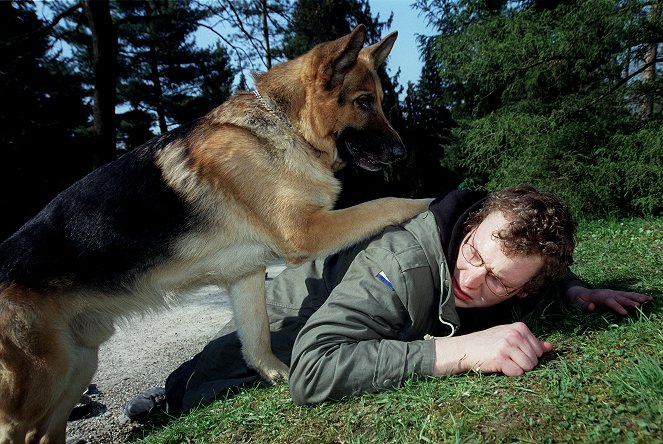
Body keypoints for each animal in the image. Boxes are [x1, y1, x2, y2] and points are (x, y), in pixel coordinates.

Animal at [0, 25, 430, 444]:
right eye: (363, 102)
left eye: (378, 101)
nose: (403, 153)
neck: (286, 127)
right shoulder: (306, 231)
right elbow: (386, 203)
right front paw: (431, 200)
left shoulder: (246, 276)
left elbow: (257, 342)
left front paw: (280, 377)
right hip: (40, 385)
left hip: (76, 368)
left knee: (43, 434)